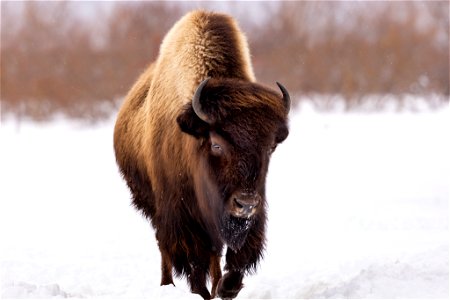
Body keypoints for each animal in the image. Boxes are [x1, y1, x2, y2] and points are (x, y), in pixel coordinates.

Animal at [111, 9, 288, 300]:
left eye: (270, 147)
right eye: (216, 144)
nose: (245, 204)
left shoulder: (247, 223)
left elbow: (233, 259)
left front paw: (226, 287)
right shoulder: (182, 218)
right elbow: (193, 262)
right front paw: (204, 290)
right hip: (152, 206)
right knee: (165, 247)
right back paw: (167, 284)